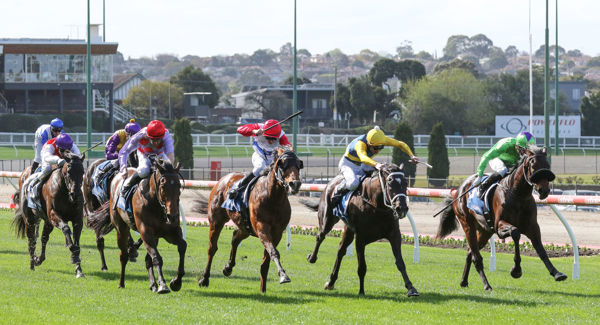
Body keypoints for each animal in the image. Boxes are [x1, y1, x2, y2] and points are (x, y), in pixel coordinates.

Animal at [87, 158, 183, 294]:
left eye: (179, 186)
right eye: (163, 186)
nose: (173, 215)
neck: (155, 204)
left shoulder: (170, 232)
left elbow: (182, 246)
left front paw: (176, 281)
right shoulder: (146, 232)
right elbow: (156, 257)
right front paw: (163, 285)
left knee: (147, 259)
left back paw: (153, 284)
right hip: (121, 228)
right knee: (123, 256)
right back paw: (121, 283)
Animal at [197, 147, 302, 292]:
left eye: (299, 164)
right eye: (282, 164)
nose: (295, 184)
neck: (273, 198)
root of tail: (222, 179)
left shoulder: (277, 233)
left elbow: (266, 260)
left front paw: (263, 289)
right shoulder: (261, 228)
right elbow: (273, 252)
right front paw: (283, 276)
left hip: (245, 227)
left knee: (235, 237)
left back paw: (228, 267)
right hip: (216, 221)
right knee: (212, 249)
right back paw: (204, 279)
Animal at [300, 163, 418, 294]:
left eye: (405, 183)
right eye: (390, 182)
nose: (402, 208)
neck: (376, 205)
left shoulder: (394, 234)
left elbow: (400, 262)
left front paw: (411, 288)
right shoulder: (360, 238)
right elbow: (362, 267)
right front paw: (361, 291)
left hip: (349, 230)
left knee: (340, 250)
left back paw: (331, 282)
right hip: (327, 220)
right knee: (320, 236)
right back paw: (312, 258)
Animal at [436, 146, 564, 290]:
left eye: (547, 165)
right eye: (533, 165)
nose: (544, 190)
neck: (518, 195)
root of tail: (458, 191)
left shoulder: (532, 227)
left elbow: (541, 250)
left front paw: (557, 273)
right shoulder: (499, 226)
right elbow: (515, 233)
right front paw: (516, 270)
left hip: (485, 231)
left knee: (470, 252)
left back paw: (464, 281)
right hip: (467, 224)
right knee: (476, 257)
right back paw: (487, 285)